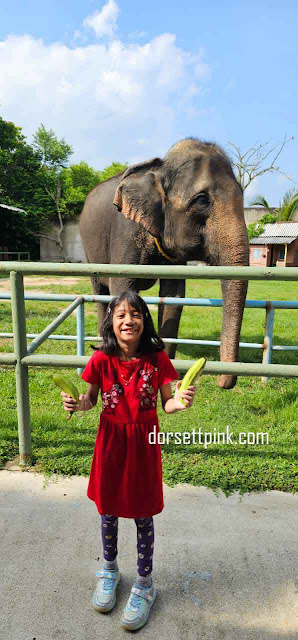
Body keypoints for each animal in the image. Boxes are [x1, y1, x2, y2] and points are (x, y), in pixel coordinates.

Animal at [79, 138, 249, 390]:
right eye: (201, 200)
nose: (222, 382)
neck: (159, 169)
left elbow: (173, 295)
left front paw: (166, 369)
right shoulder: (124, 232)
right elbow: (122, 287)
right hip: (89, 248)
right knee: (100, 292)